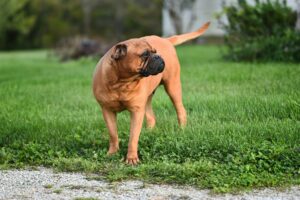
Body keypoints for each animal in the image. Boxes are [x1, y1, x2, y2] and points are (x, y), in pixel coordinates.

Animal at [92, 21, 210, 164]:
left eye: (154, 52)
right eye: (144, 54)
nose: (158, 56)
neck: (121, 83)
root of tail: (166, 40)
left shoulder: (136, 111)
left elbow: (133, 137)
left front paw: (131, 158)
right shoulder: (107, 110)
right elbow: (113, 134)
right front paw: (112, 153)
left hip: (173, 87)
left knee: (180, 110)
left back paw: (181, 130)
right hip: (148, 98)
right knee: (151, 117)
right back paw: (149, 133)